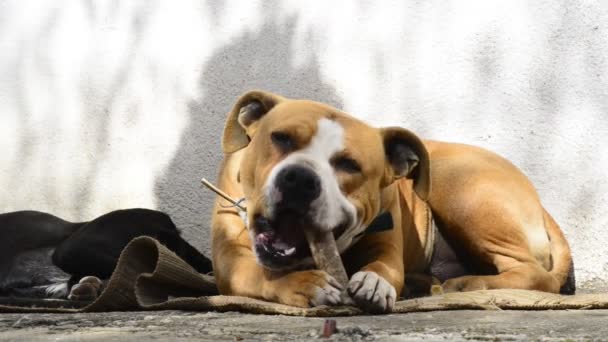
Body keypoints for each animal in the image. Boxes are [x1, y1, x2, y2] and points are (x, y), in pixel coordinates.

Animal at [211, 90, 572, 312]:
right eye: (280, 138)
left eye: (349, 165)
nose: (300, 178)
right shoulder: (230, 259)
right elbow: (257, 273)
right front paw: (304, 283)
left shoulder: (387, 246)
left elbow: (384, 267)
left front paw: (375, 283)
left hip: (459, 189)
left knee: (536, 275)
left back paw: (468, 283)